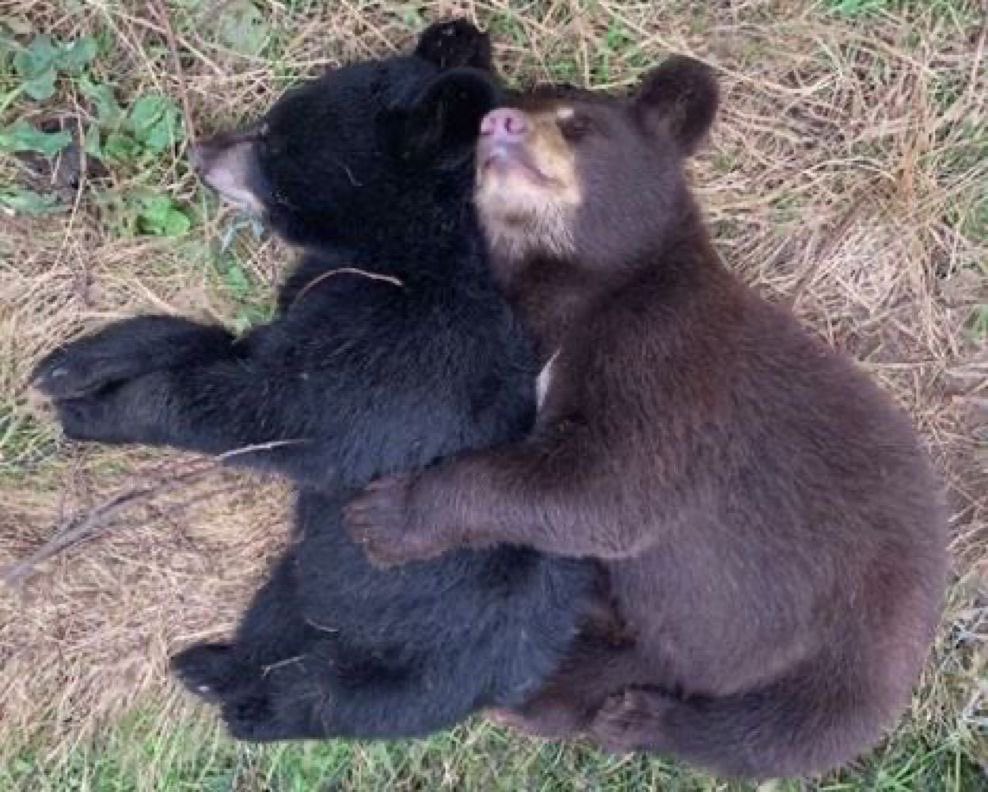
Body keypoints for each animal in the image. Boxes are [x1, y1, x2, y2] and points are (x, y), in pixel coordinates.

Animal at [30, 21, 595, 741]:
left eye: (273, 136)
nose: (201, 148)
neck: (408, 253)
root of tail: (511, 681)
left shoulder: (415, 356)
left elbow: (283, 414)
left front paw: (98, 411)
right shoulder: (321, 303)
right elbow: (226, 347)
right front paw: (72, 365)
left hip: (430, 656)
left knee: (332, 697)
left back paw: (250, 707)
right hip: (308, 573)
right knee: (278, 623)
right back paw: (211, 665)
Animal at [342, 56, 949, 778]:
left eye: (578, 125)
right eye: (489, 132)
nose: (499, 124)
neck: (589, 290)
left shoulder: (668, 365)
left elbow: (608, 488)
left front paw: (384, 514)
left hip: (859, 645)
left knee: (786, 732)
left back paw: (635, 719)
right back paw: (543, 688)